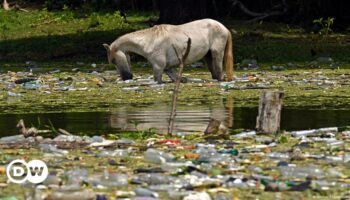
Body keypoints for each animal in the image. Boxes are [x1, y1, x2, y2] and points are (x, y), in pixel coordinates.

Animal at [102, 17, 234, 82]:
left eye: (113, 60)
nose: (126, 78)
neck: (149, 40)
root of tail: (224, 28)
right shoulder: (167, 67)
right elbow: (177, 78)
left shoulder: (158, 67)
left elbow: (157, 80)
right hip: (208, 56)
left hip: (217, 54)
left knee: (218, 71)